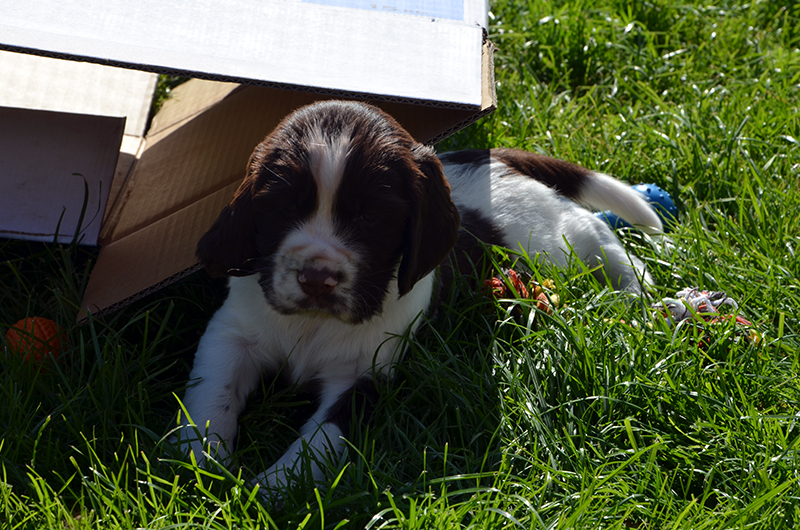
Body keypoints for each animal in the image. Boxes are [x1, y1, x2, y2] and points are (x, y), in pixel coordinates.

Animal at [175, 98, 664, 490]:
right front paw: (203, 465)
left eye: (371, 219)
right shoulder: (231, 334)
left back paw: (640, 293)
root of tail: (487, 155)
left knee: (597, 234)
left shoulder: (367, 373)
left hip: (556, 243)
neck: (314, 325)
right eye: (283, 209)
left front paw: (266, 490)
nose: (316, 278)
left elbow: (319, 440)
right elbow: (210, 397)